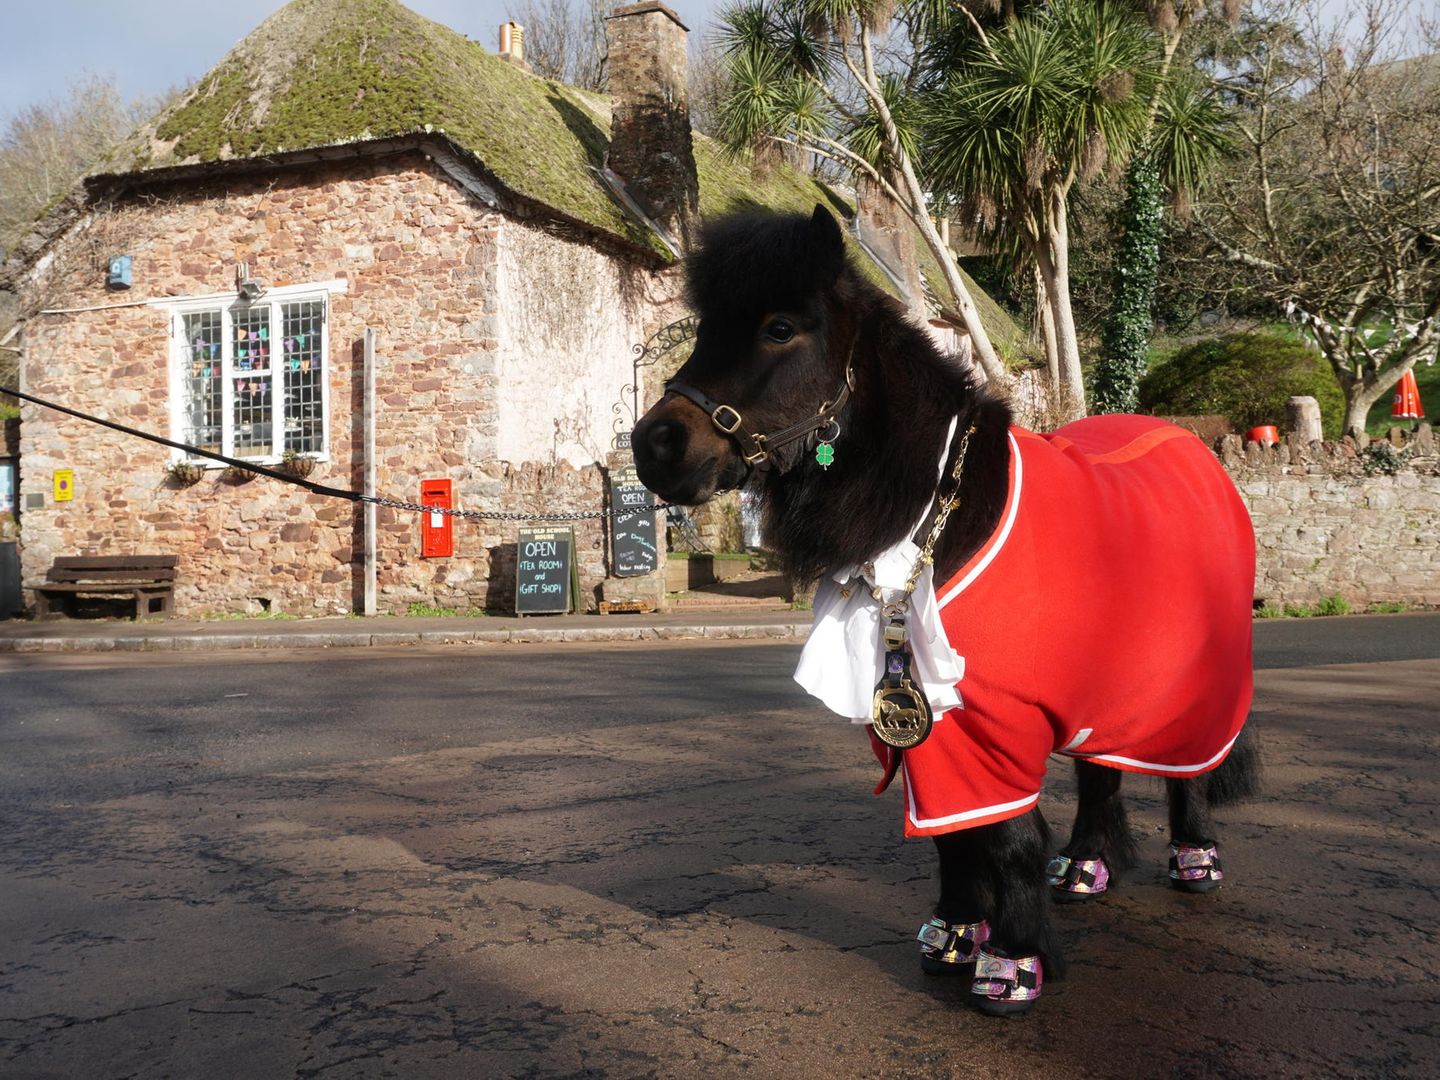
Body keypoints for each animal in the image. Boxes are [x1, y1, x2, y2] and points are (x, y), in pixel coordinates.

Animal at [636, 207, 1255, 1019]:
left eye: (779, 326)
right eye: (706, 325)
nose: (654, 446)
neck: (944, 520)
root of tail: (1201, 452)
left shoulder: (993, 721)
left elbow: (1009, 837)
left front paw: (1013, 963)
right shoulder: (930, 716)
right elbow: (955, 836)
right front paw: (956, 934)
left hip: (1188, 685)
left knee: (1190, 766)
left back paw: (1195, 858)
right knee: (1103, 768)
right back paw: (1085, 866)